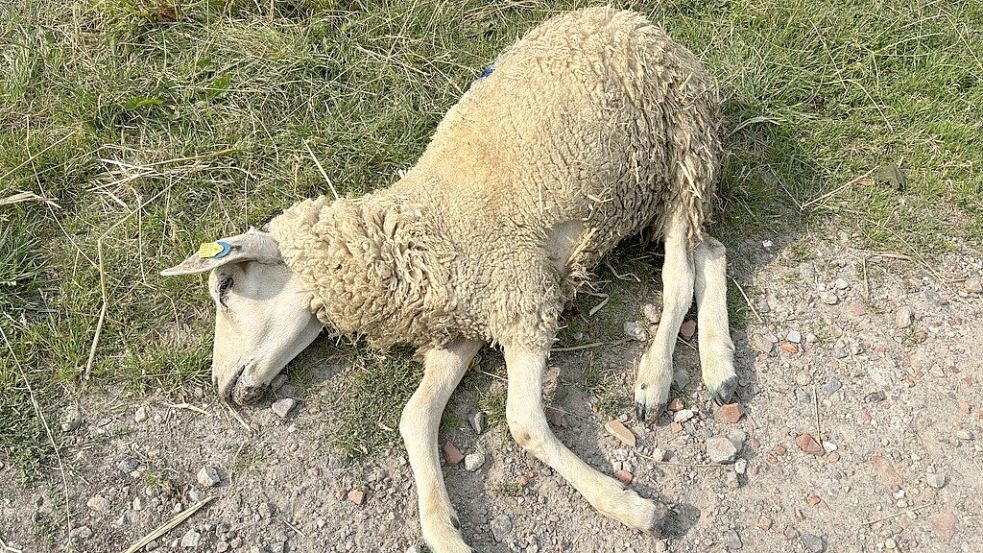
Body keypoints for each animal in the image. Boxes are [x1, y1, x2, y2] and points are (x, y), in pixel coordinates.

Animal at [163, 5, 736, 552]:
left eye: (225, 289)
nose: (220, 388)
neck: (418, 230)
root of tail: (635, 21)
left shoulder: (524, 300)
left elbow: (523, 422)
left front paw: (629, 506)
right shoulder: (459, 324)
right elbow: (415, 417)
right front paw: (443, 529)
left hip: (683, 151)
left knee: (680, 274)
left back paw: (654, 381)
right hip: (659, 186)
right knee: (710, 253)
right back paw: (720, 369)